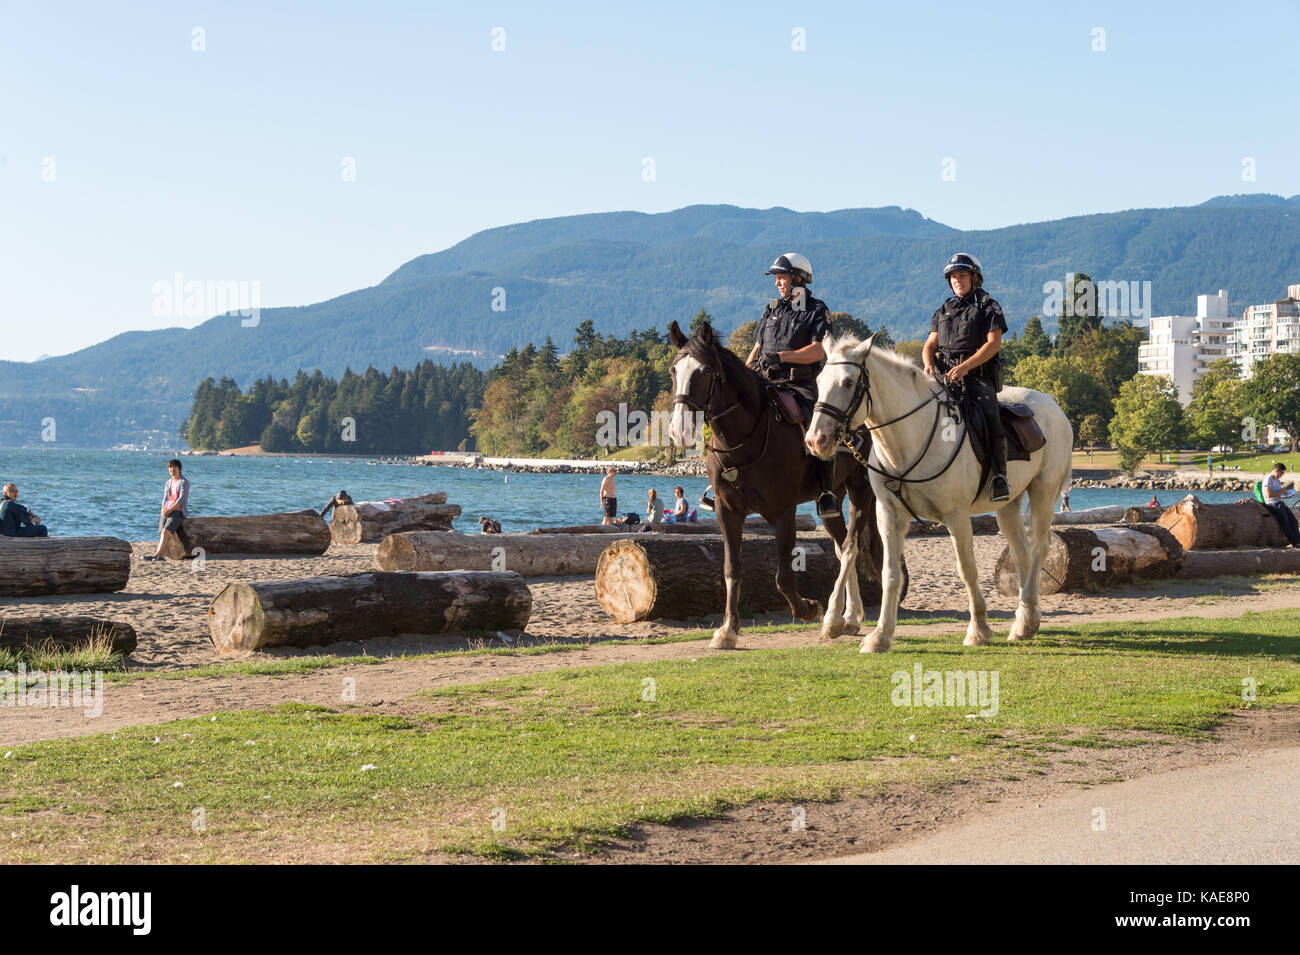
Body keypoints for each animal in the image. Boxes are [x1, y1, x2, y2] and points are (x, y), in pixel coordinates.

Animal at [665, 320, 899, 649]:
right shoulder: (727, 512)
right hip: (832, 500)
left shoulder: (783, 512)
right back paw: (849, 617)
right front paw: (727, 630)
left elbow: (784, 576)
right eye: (674, 370)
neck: (747, 436)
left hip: (860, 492)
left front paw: (808, 608)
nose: (679, 430)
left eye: (705, 371)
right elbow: (731, 569)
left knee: (851, 547)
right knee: (842, 546)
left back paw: (842, 617)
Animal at [806, 332, 1071, 654]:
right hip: (1008, 505)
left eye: (846, 382)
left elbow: (966, 569)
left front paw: (978, 630)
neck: (911, 439)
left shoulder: (956, 516)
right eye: (819, 380)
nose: (816, 440)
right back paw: (1024, 622)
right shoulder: (889, 515)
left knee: (1038, 549)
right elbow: (890, 573)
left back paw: (1026, 620)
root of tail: (1052, 403)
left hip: (1044, 491)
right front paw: (880, 635)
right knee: (1021, 553)